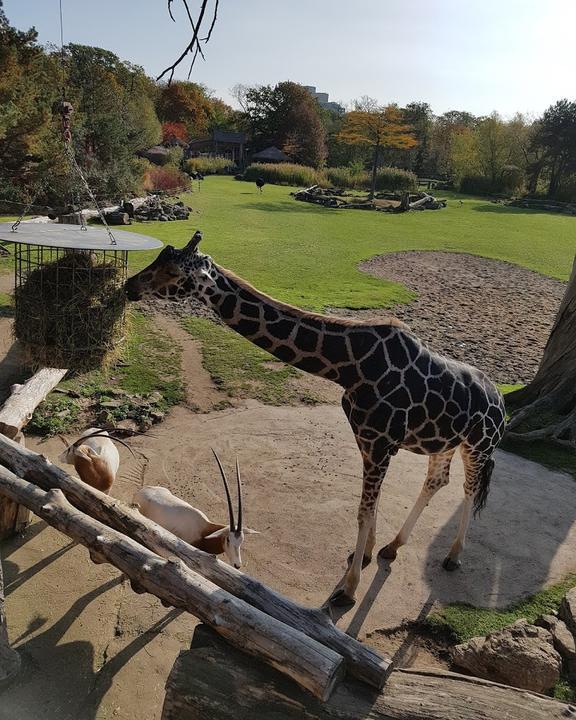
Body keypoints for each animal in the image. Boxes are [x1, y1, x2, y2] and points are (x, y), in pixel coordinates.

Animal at [125, 233, 504, 604]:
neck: (350, 367)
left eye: (174, 272)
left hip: (478, 445)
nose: (129, 286)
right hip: (443, 442)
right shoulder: (371, 442)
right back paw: (393, 547)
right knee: (436, 481)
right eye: (159, 259)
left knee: (470, 488)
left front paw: (348, 589)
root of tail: (501, 402)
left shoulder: (380, 442)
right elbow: (372, 505)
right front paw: (365, 555)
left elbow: (363, 510)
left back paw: (453, 556)